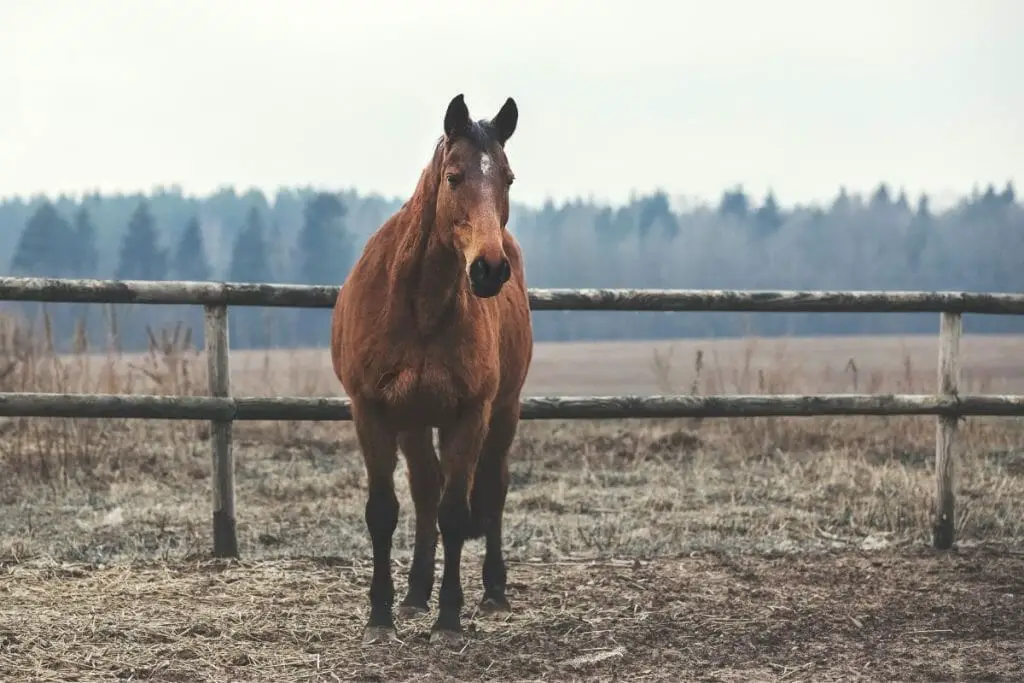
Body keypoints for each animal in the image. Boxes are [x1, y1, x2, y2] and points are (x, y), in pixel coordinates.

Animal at [329, 92, 536, 647]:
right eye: (454, 176)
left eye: (508, 178)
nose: (489, 269)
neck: (419, 305)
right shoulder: (372, 412)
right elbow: (385, 511)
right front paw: (381, 614)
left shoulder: (471, 413)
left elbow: (456, 511)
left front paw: (449, 617)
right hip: (415, 421)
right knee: (424, 491)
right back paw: (414, 593)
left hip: (503, 413)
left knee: (491, 489)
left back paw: (492, 591)